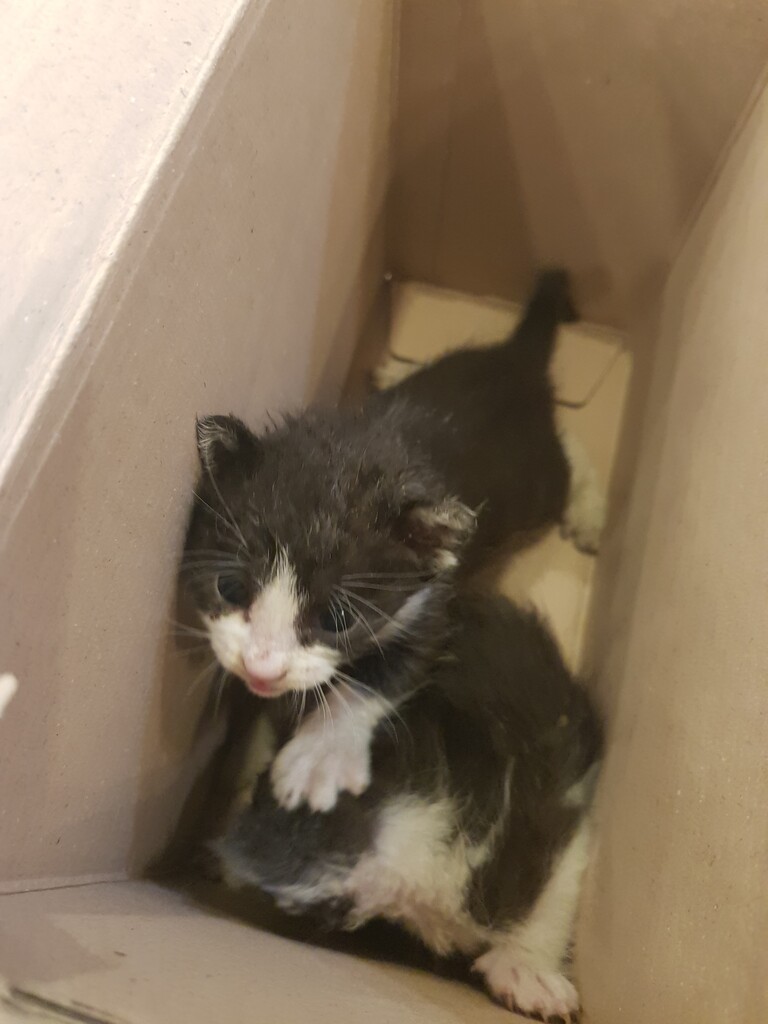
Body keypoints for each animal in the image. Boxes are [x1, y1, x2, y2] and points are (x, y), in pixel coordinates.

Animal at [181, 269, 603, 813]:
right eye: (229, 589)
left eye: (337, 620)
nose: (262, 670)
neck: (363, 449)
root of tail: (515, 361)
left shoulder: (435, 592)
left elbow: (395, 667)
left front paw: (320, 755)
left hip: (536, 486)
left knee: (564, 461)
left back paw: (589, 509)